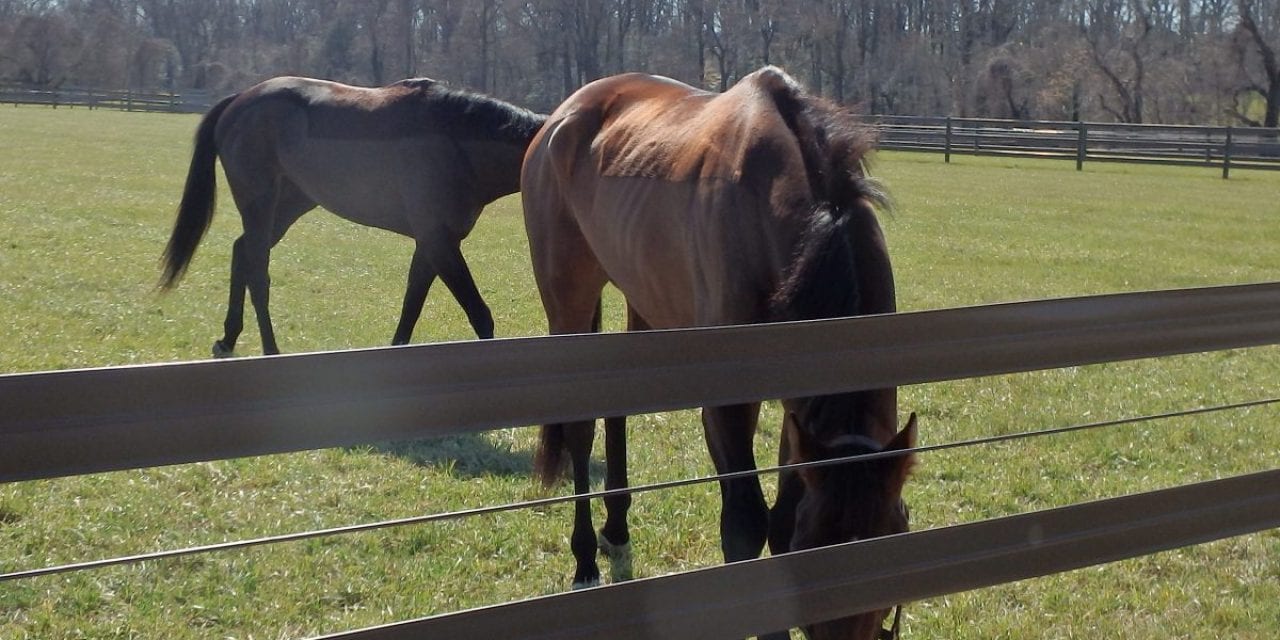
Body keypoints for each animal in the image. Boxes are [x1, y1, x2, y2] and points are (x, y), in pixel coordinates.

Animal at [158, 76, 545, 355]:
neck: (454, 139)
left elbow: (411, 307)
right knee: (257, 270)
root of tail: (239, 100)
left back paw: (228, 339)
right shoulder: (439, 242)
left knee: (241, 253)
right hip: (260, 204)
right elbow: (479, 315)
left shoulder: (431, 244)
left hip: (289, 206)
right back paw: (270, 350)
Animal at [522, 66, 921, 640]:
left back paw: (616, 526)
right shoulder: (728, 406)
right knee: (578, 428)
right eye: (812, 547)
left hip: (641, 295)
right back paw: (584, 561)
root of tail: (562, 114)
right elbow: (746, 525)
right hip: (568, 299)